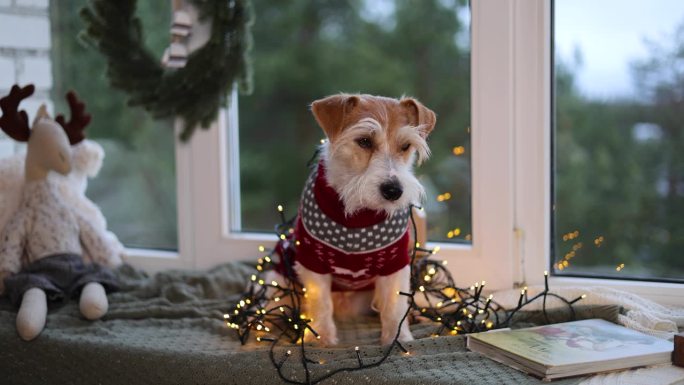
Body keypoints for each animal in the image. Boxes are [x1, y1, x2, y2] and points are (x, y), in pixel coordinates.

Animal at [272, 93, 432, 344]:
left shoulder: (395, 264)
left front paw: (397, 339)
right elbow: (320, 303)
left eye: (406, 146)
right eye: (365, 141)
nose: (393, 190)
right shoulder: (312, 262)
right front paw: (322, 339)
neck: (358, 215)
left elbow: (394, 306)